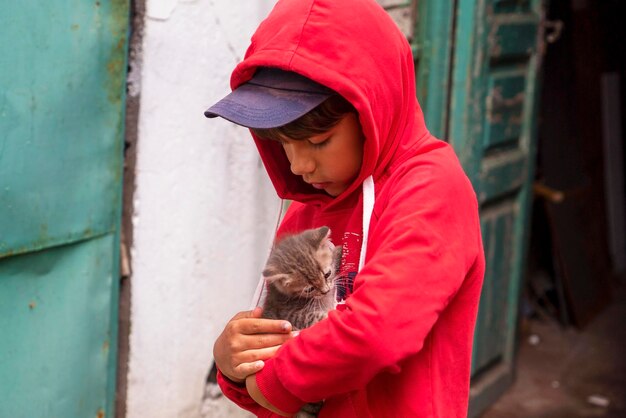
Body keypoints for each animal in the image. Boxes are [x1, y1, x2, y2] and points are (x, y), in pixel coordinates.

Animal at [258, 227, 342, 416]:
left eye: (327, 274)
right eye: (309, 289)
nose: (325, 291)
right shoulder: (294, 314)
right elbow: (320, 316)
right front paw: (335, 311)